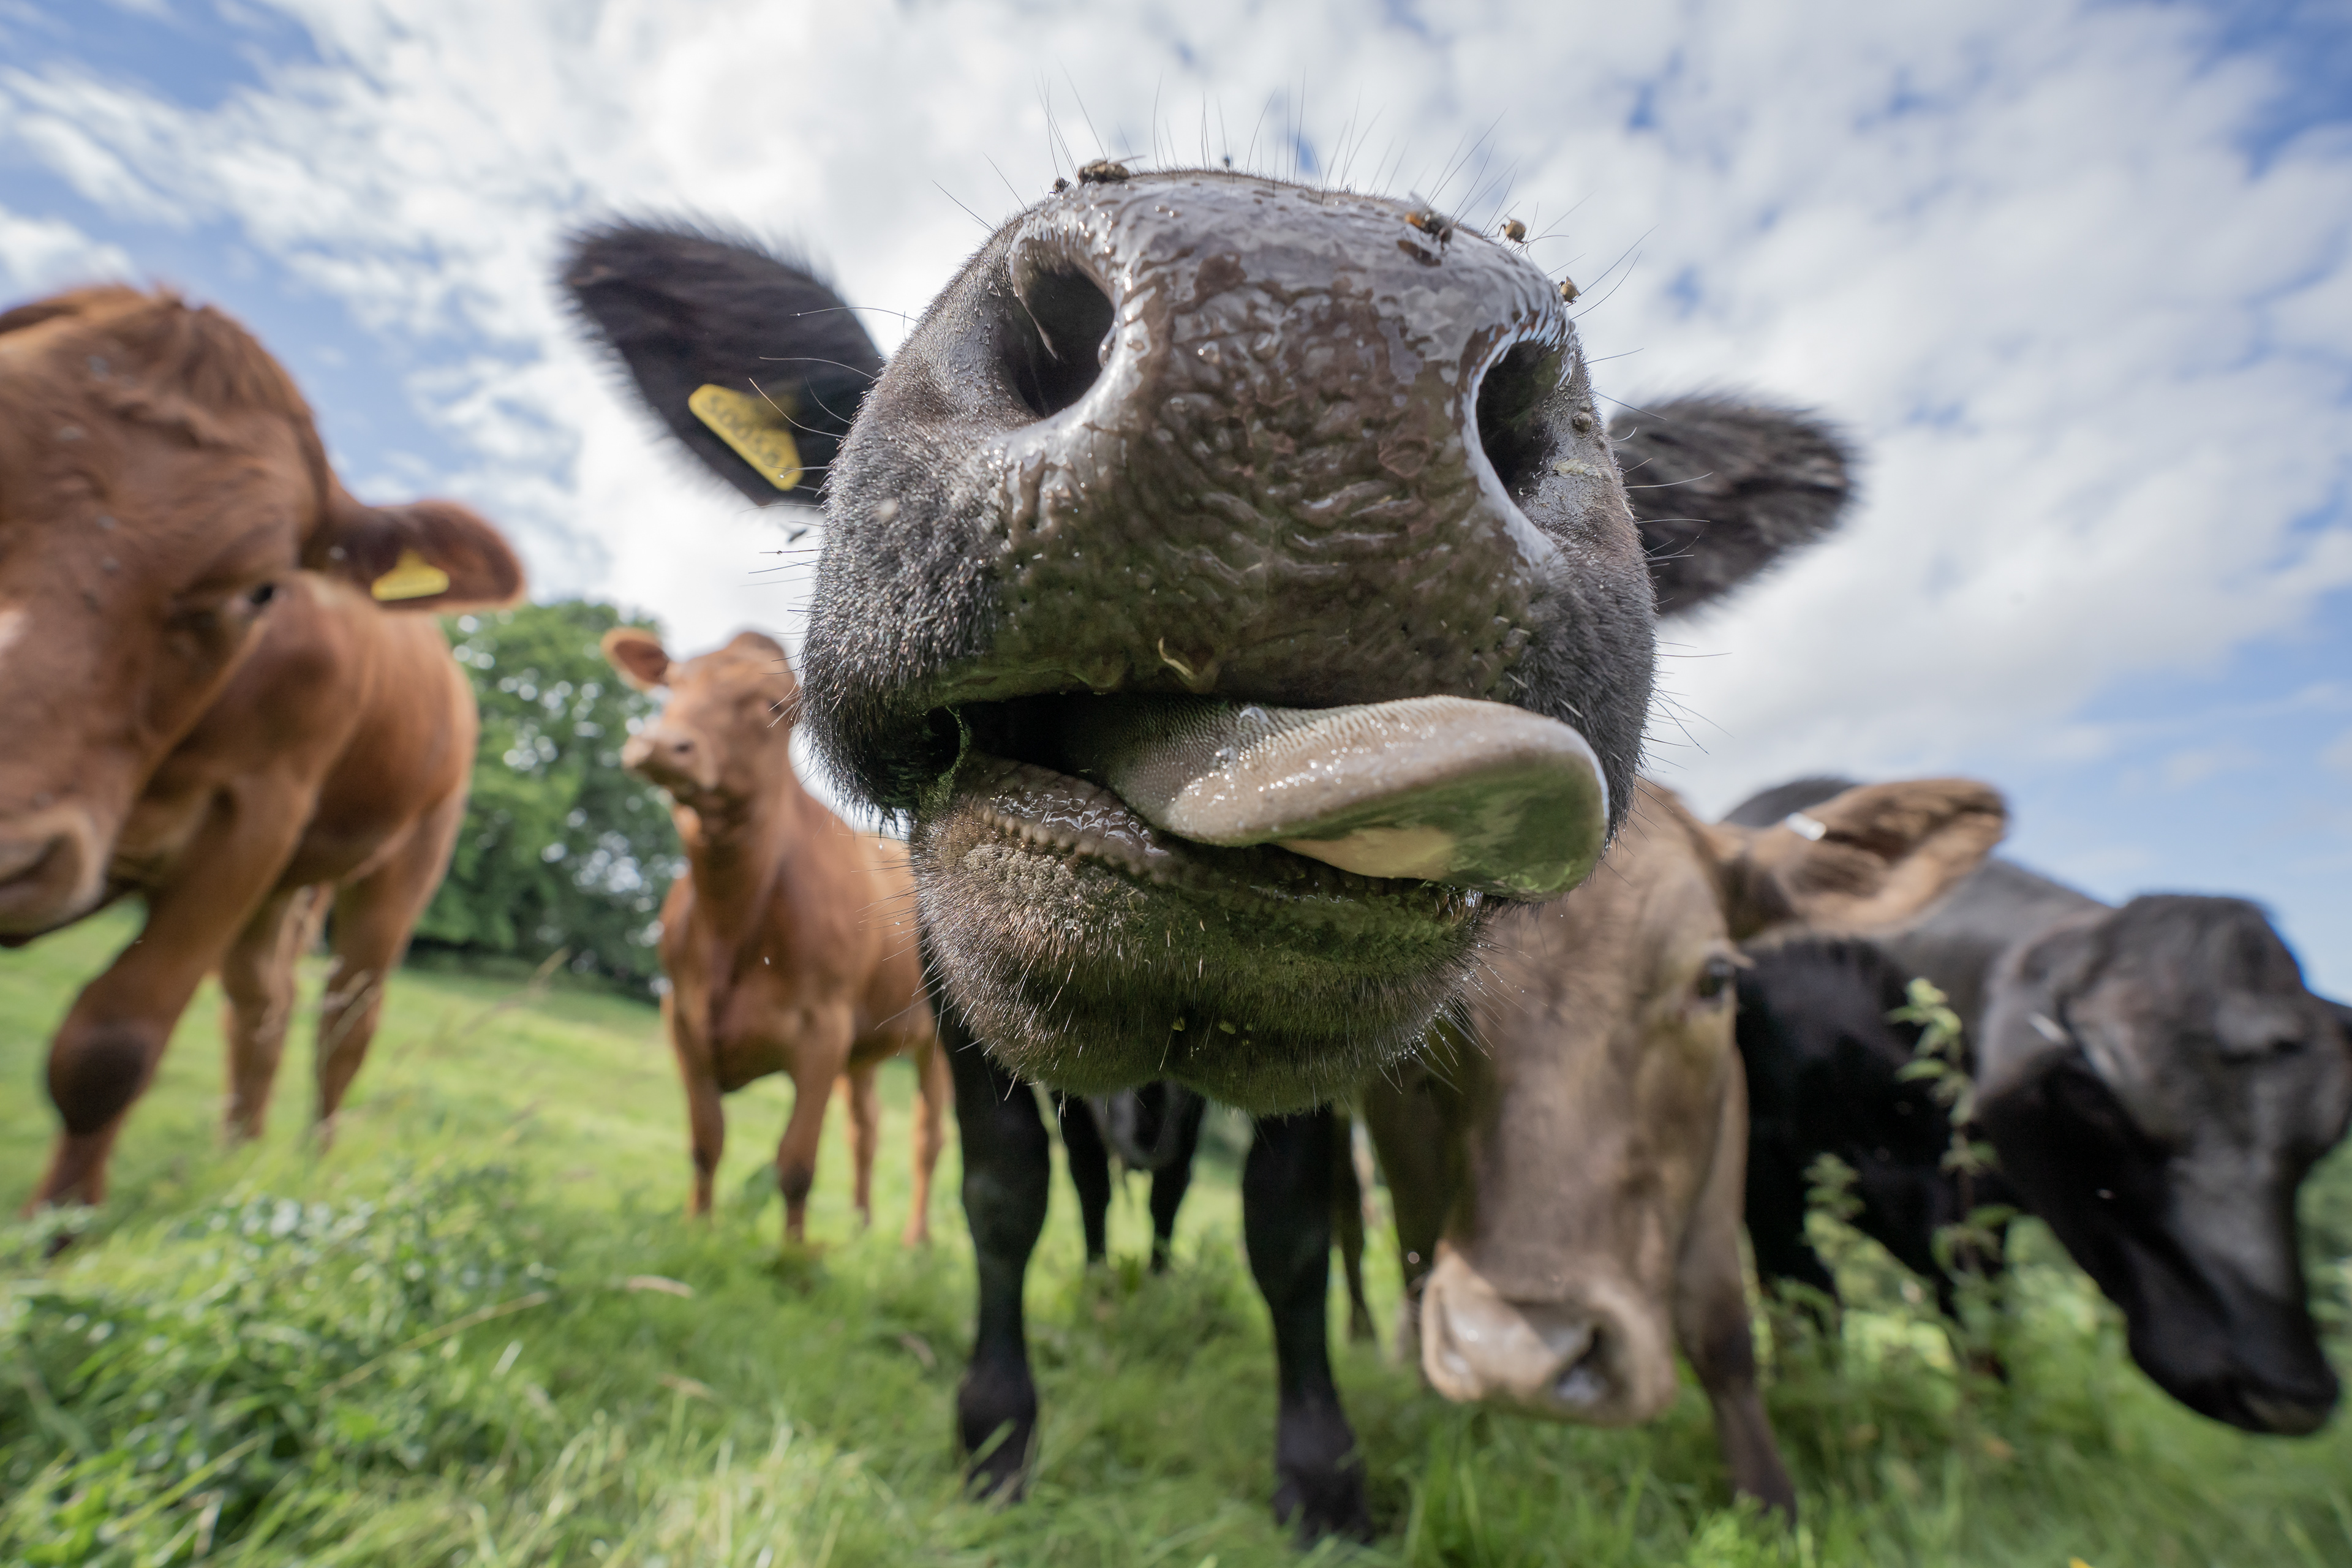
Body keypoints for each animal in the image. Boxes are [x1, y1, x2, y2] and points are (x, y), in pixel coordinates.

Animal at [0, 286, 523, 1211]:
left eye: (260, 589)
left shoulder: (252, 815)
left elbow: (109, 1048)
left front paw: (56, 1228)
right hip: (284, 891)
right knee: (262, 1002)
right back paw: (237, 1153)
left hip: (401, 865)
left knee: (343, 1021)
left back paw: (313, 1161)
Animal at [601, 628, 948, 1247]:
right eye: (673, 685)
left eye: (772, 706)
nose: (663, 745)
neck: (730, 921)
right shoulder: (682, 1018)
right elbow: (706, 1143)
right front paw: (697, 1231)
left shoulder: (823, 1031)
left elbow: (796, 1164)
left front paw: (792, 1256)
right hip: (865, 1048)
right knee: (866, 1127)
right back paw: (860, 1227)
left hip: (939, 1046)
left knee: (927, 1138)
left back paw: (915, 1241)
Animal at [1358, 777, 2006, 1522]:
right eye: (1445, 1004)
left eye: (1715, 977)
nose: (1519, 1353)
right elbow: (1416, 1263)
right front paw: (1457, 1437)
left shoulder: (1734, 1130)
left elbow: (1721, 1323)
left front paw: (1770, 1502)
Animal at [1724, 777, 2352, 1436]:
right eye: (2096, 1096)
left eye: (2330, 1130)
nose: (2287, 1397)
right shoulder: (1763, 1165)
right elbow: (1806, 1305)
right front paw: (1809, 1410)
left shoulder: (1972, 1206)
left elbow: (1982, 1334)